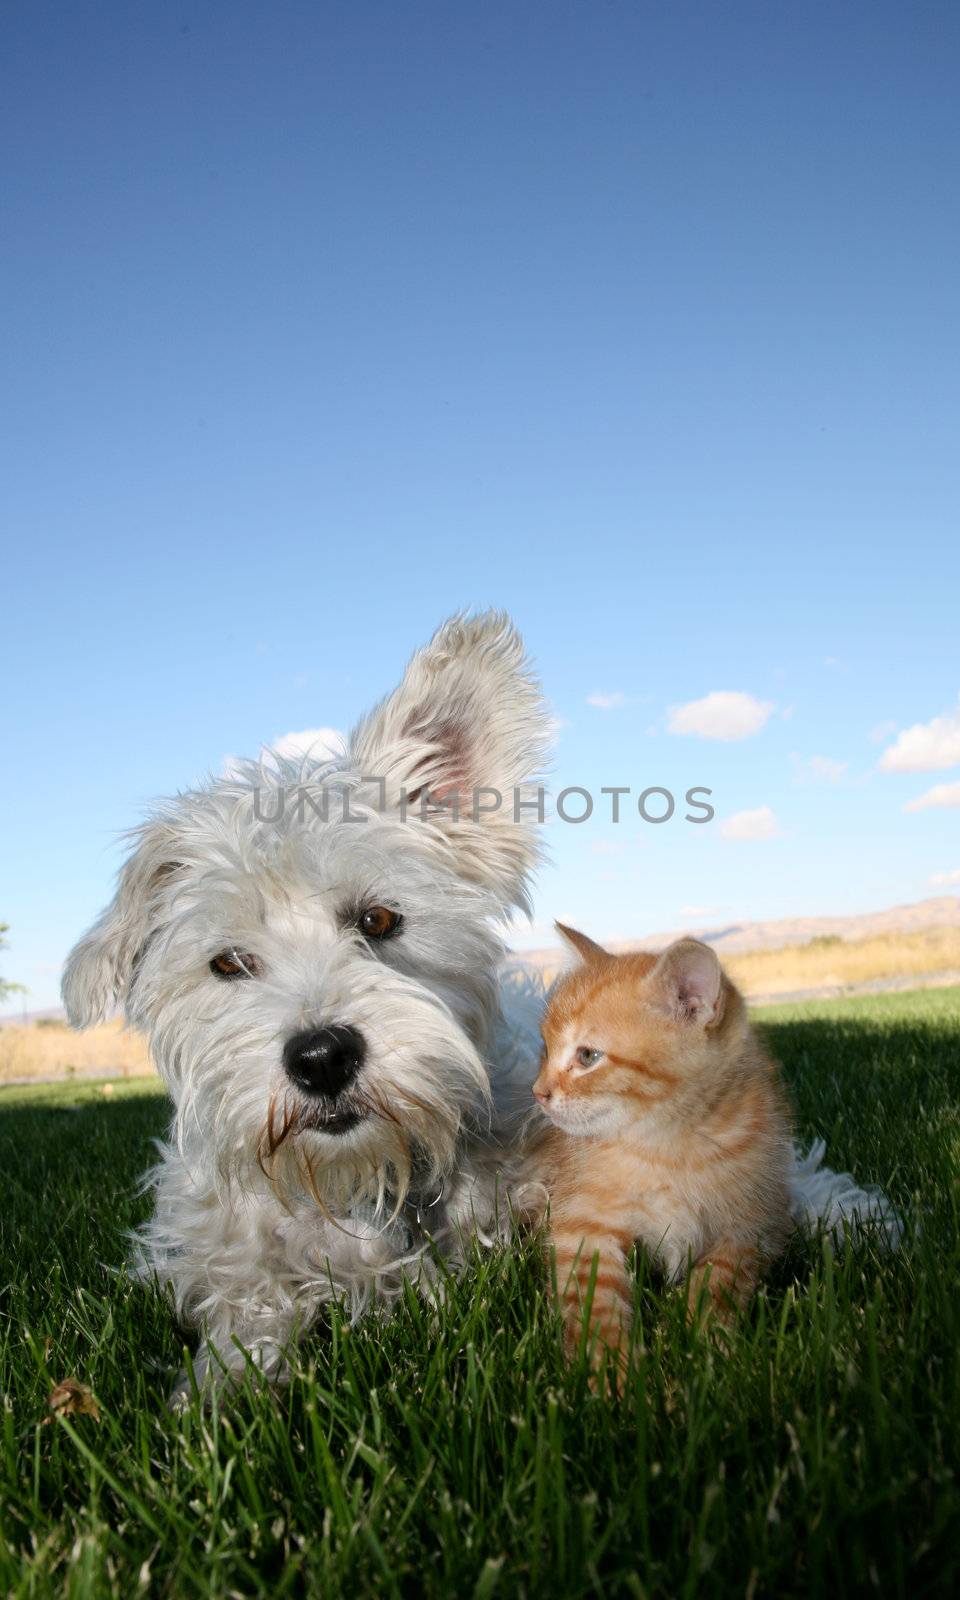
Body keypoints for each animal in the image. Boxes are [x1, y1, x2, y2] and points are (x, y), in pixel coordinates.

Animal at [528, 928, 790, 1376]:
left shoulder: (757, 1221)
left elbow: (723, 1275)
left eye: (588, 1056)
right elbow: (595, 1299)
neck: (669, 1146)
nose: (539, 1093)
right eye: (544, 1049)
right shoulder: (580, 1224)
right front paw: (612, 1370)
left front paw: (697, 1337)